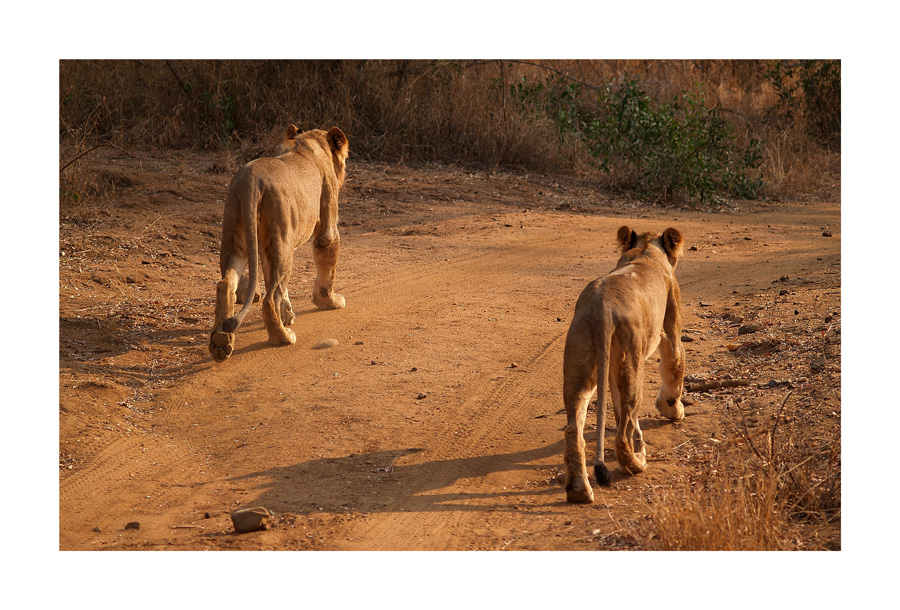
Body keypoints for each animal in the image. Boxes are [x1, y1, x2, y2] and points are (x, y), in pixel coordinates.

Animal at [209, 124, 350, 360]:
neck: (307, 142)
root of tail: (250, 181)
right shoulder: (327, 227)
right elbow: (327, 268)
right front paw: (330, 302)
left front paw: (287, 316)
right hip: (283, 242)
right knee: (268, 298)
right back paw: (282, 337)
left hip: (238, 238)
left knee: (226, 284)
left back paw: (221, 341)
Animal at [568, 226, 684, 502]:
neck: (645, 249)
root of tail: (601, 306)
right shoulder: (670, 328)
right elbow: (674, 366)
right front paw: (673, 410)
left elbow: (621, 412)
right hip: (632, 360)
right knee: (620, 435)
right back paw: (636, 463)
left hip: (583, 360)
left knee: (573, 428)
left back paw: (579, 491)